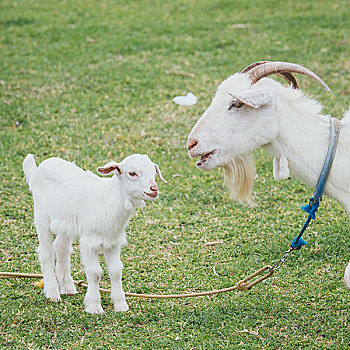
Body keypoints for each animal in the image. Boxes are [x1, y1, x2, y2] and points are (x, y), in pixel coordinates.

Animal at [23, 153, 167, 314]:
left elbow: (116, 271)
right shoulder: (89, 242)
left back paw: (68, 288)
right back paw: (52, 293)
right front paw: (94, 306)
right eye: (132, 173)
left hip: (65, 223)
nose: (154, 189)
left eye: (154, 172)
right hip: (41, 216)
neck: (108, 202)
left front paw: (120, 305)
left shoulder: (113, 242)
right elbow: (95, 273)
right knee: (46, 253)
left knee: (61, 248)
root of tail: (37, 170)